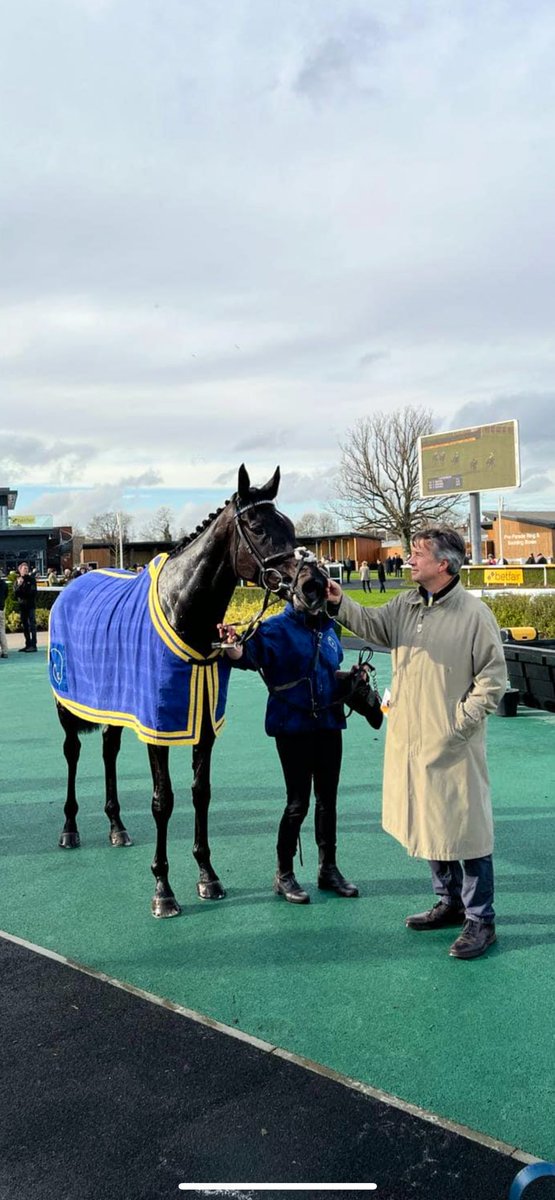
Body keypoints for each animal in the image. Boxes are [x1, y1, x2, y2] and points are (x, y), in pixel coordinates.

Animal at [49, 465, 329, 917]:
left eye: (288, 526)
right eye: (257, 527)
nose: (314, 586)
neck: (182, 610)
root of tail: (71, 587)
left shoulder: (204, 724)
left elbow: (202, 794)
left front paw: (207, 876)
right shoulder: (157, 724)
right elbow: (163, 800)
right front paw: (163, 890)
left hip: (113, 703)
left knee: (109, 751)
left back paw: (116, 826)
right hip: (66, 702)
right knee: (72, 751)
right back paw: (70, 828)